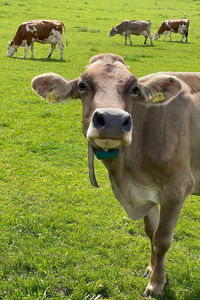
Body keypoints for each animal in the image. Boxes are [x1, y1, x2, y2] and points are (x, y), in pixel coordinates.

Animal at [31, 53, 200, 296]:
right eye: (82, 85)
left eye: (135, 88)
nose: (112, 120)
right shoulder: (147, 193)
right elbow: (151, 232)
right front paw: (152, 269)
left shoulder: (176, 190)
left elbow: (162, 240)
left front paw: (156, 284)